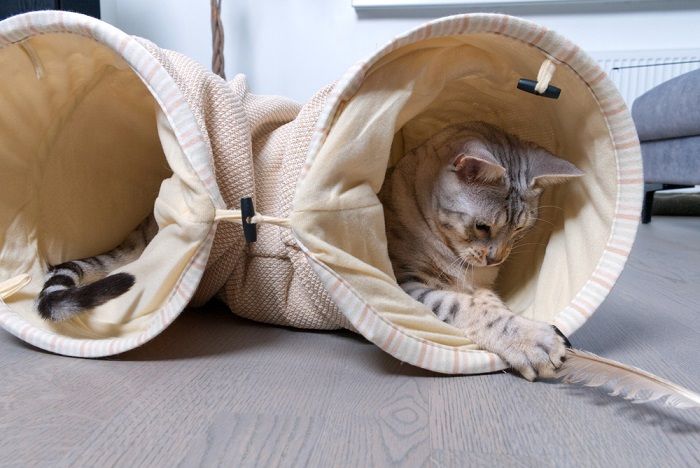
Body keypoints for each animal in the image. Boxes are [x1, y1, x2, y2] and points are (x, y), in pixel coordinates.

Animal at [380, 122, 584, 382]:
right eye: (482, 226)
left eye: (520, 229)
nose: (496, 259)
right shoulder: (407, 282)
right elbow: (462, 305)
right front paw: (533, 338)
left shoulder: (481, 286)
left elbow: (490, 303)